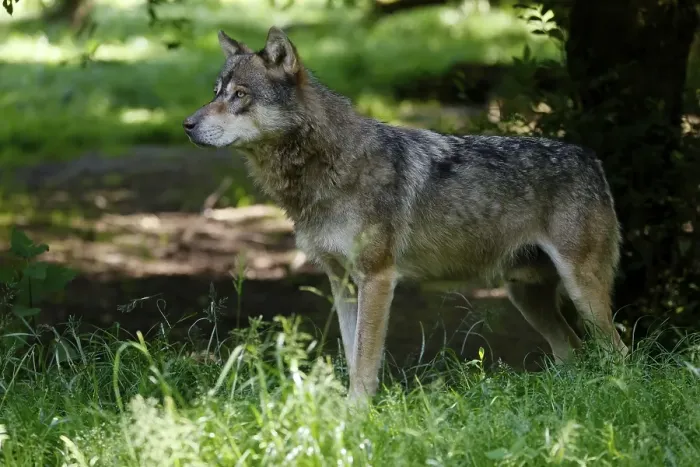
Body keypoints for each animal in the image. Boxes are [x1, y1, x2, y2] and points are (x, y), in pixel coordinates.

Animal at [183, 26, 629, 400]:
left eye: (240, 95)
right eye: (216, 92)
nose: (187, 124)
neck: (328, 168)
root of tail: (590, 157)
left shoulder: (378, 278)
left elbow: (365, 358)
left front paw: (357, 415)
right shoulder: (341, 282)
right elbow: (351, 355)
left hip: (580, 290)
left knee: (619, 351)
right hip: (526, 296)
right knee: (573, 351)